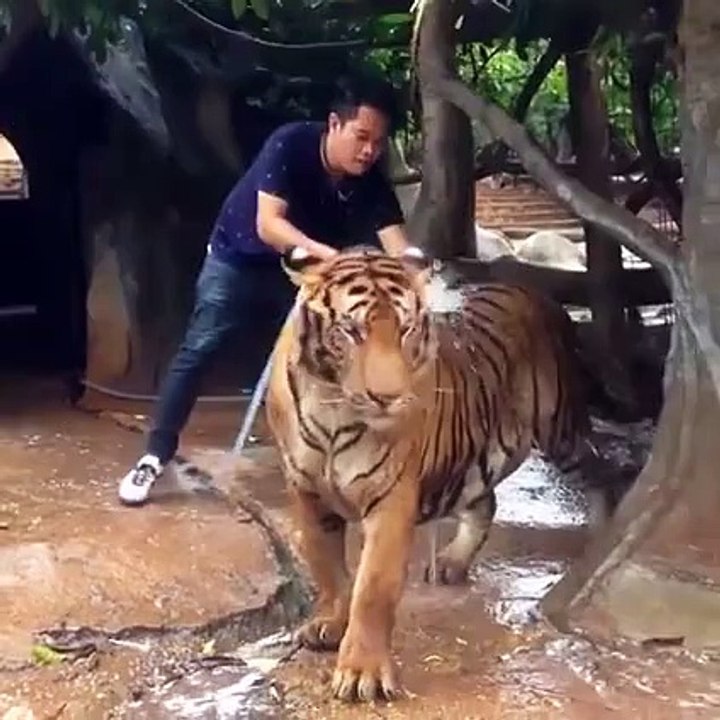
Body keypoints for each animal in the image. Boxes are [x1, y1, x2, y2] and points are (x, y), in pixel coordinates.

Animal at [265, 243, 595, 704]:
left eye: (404, 329)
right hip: (477, 454)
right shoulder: (306, 492)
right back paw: (452, 563)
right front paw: (330, 623)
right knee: (486, 501)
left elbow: (373, 587)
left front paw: (363, 673)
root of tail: (531, 288)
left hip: (561, 428)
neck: (334, 410)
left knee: (603, 473)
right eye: (351, 331)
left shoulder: (391, 497)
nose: (388, 397)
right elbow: (326, 566)